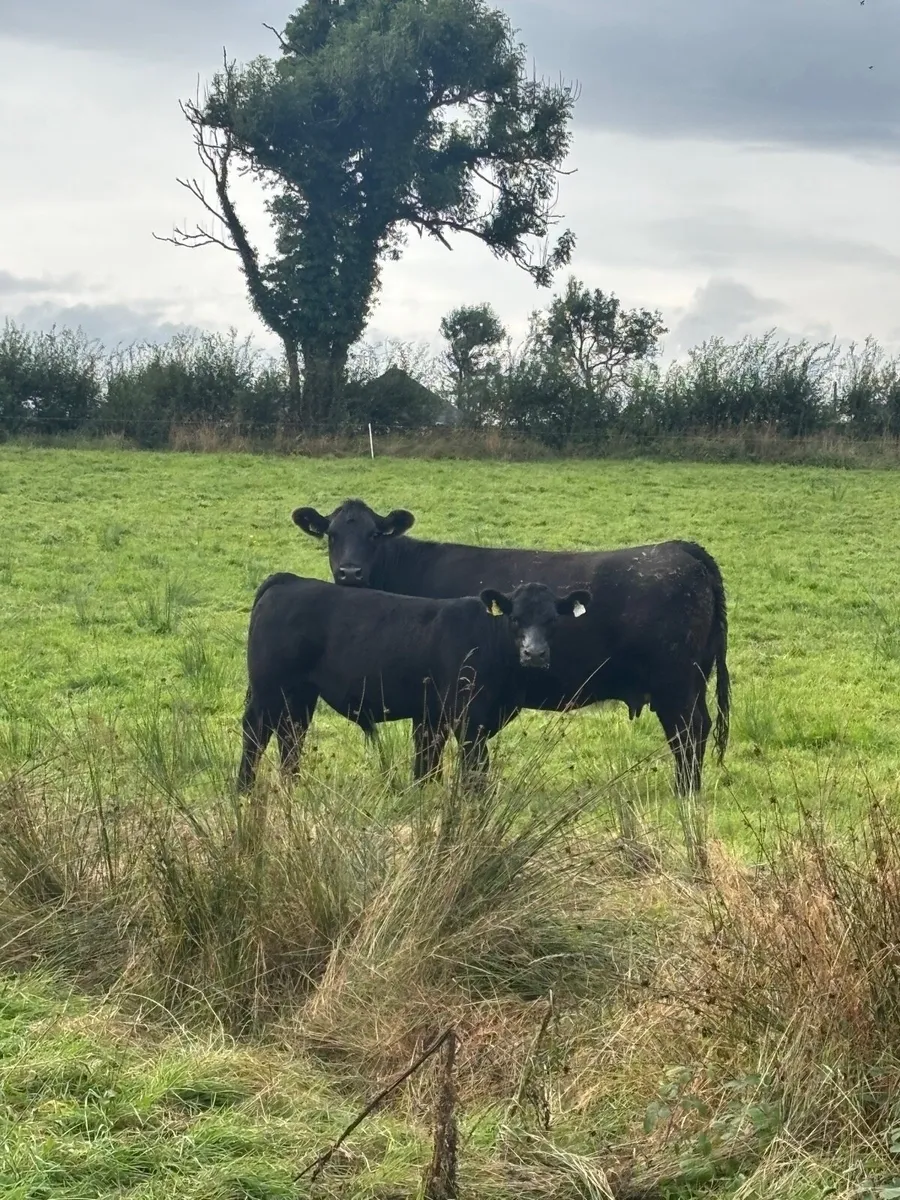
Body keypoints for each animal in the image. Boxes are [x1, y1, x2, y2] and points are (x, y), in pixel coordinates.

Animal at [237, 573, 592, 791]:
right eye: (515, 618)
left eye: (552, 619)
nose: (535, 653)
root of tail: (289, 581)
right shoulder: (469, 718)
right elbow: (474, 767)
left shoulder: (432, 715)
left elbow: (428, 762)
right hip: (269, 690)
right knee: (256, 734)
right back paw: (244, 788)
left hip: (300, 695)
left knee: (291, 735)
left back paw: (292, 786)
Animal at [292, 499, 731, 794]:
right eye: (332, 535)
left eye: (373, 535)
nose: (350, 572)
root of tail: (681, 548)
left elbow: (426, 746)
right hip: (692, 681)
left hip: (676, 684)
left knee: (689, 734)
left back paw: (685, 794)